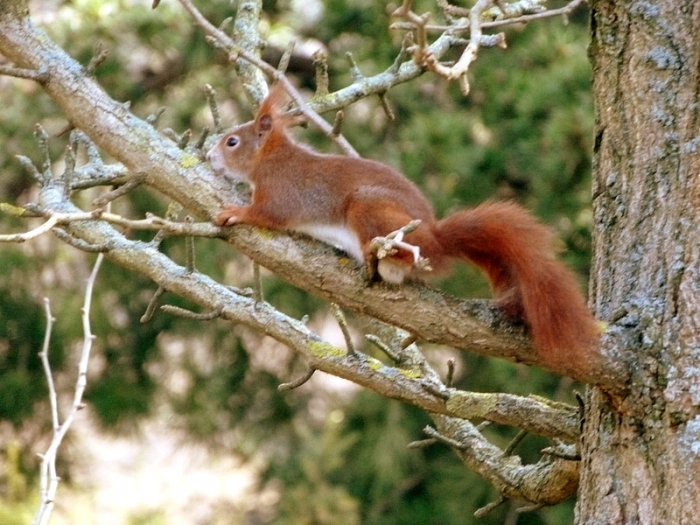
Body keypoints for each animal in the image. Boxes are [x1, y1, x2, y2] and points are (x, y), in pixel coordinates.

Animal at [207, 84, 600, 371]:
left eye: (232, 141)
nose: (209, 156)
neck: (270, 159)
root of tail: (436, 240)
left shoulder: (282, 193)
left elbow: (267, 214)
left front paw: (235, 212)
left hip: (369, 208)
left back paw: (380, 260)